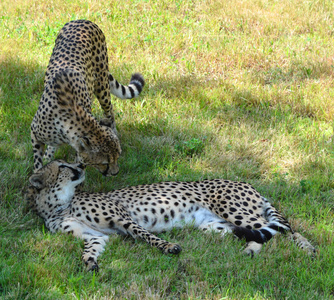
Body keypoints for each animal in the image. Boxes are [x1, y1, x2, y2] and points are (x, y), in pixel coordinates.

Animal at [26, 162, 316, 272]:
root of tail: (246, 183)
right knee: (262, 234)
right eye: (63, 166)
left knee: (286, 229)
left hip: (233, 210)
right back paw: (250, 251)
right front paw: (89, 263)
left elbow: (147, 236)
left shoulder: (123, 218)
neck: (60, 205)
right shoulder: (94, 236)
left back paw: (309, 250)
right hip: (215, 226)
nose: (81, 165)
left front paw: (169, 248)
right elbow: (90, 250)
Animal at [31, 19, 145, 176]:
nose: (115, 173)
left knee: (110, 111)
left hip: (102, 85)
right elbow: (37, 161)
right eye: (105, 163)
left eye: (118, 156)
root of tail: (82, 20)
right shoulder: (35, 132)